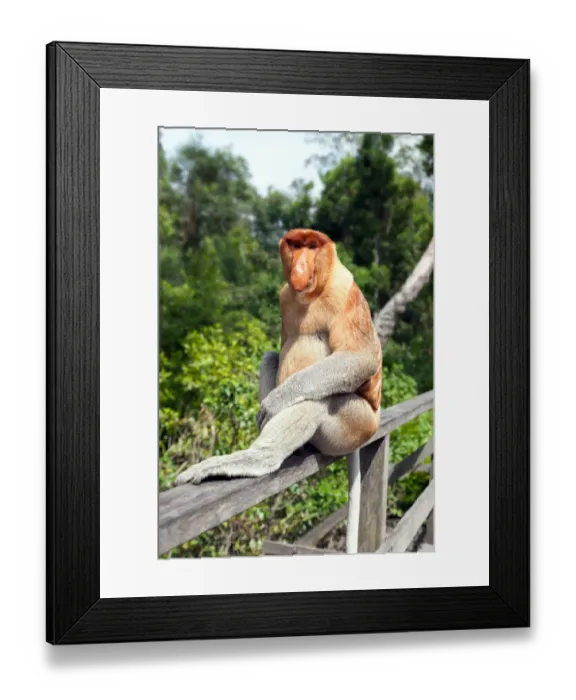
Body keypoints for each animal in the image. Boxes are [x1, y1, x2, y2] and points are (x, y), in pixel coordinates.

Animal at [174, 228, 382, 486]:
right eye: (295, 246)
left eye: (312, 247)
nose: (299, 266)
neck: (312, 295)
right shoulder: (285, 297)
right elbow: (277, 353)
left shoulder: (345, 292)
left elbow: (362, 357)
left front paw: (274, 402)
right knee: (269, 358)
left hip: (357, 425)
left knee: (320, 398)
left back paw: (256, 458)